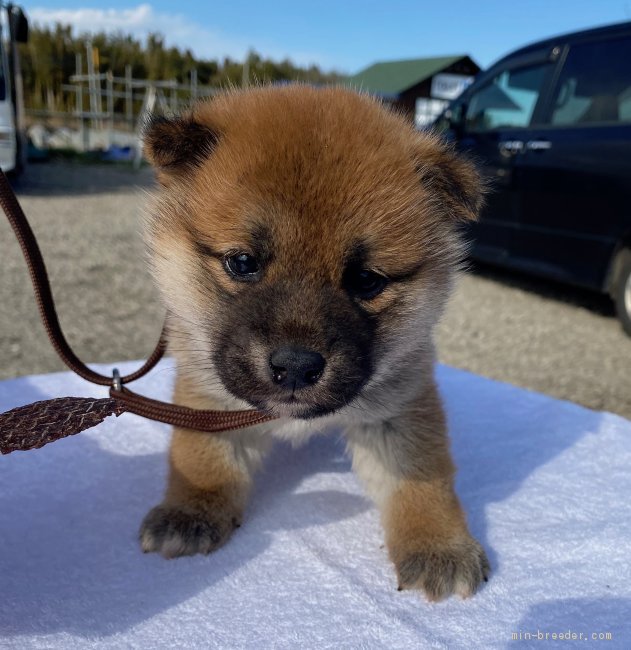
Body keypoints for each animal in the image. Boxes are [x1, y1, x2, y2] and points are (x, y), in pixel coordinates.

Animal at [141, 85, 492, 596]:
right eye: (242, 262)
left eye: (366, 280)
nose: (296, 366)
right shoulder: (206, 397)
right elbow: (203, 459)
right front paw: (191, 511)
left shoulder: (401, 407)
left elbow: (421, 476)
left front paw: (438, 545)